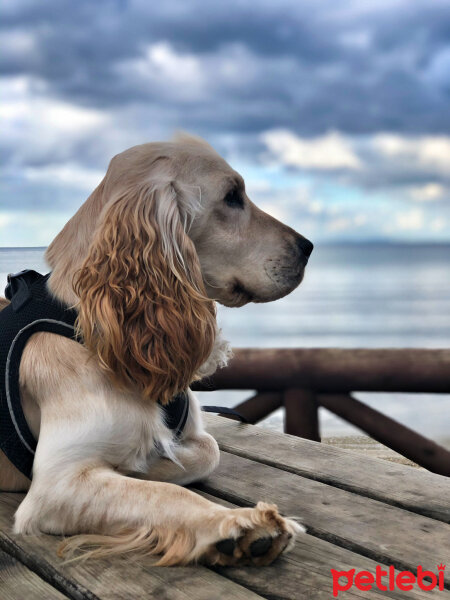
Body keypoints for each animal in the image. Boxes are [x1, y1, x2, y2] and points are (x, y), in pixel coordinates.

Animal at [0, 135, 312, 568]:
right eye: (232, 196)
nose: (308, 247)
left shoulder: (194, 436)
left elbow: (207, 451)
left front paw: (145, 464)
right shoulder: (56, 484)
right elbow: (167, 494)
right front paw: (240, 525)